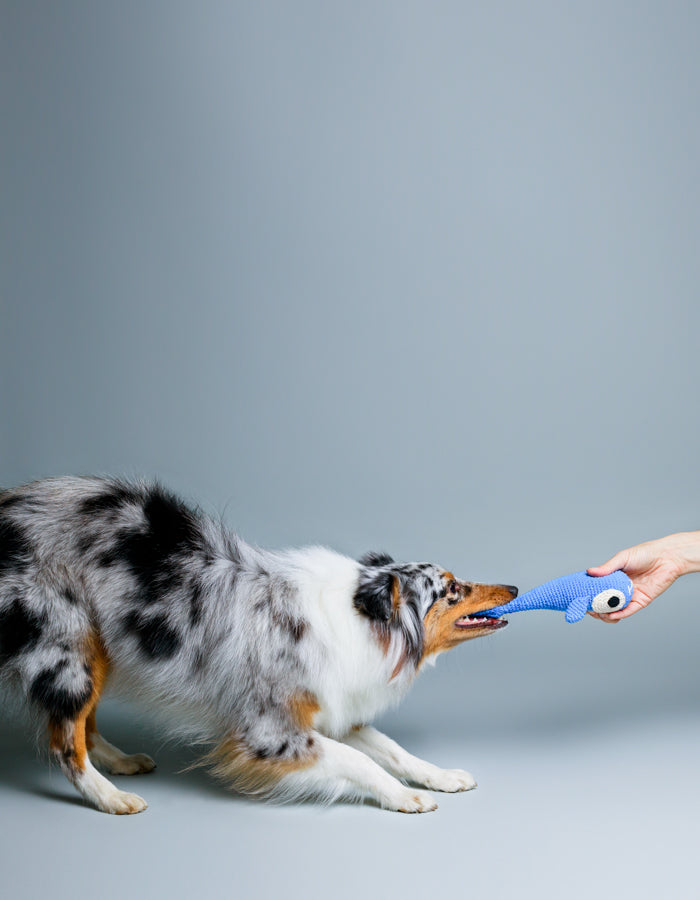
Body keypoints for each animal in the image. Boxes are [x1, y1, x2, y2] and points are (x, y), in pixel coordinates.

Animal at [0, 478, 516, 816]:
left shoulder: (334, 705)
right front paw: (404, 796)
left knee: (84, 725)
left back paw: (120, 763)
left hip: (97, 651)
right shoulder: (268, 731)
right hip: (67, 650)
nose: (512, 587)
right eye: (451, 590)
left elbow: (391, 748)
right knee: (65, 741)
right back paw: (110, 797)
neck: (355, 619)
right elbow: (357, 760)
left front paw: (441, 776)